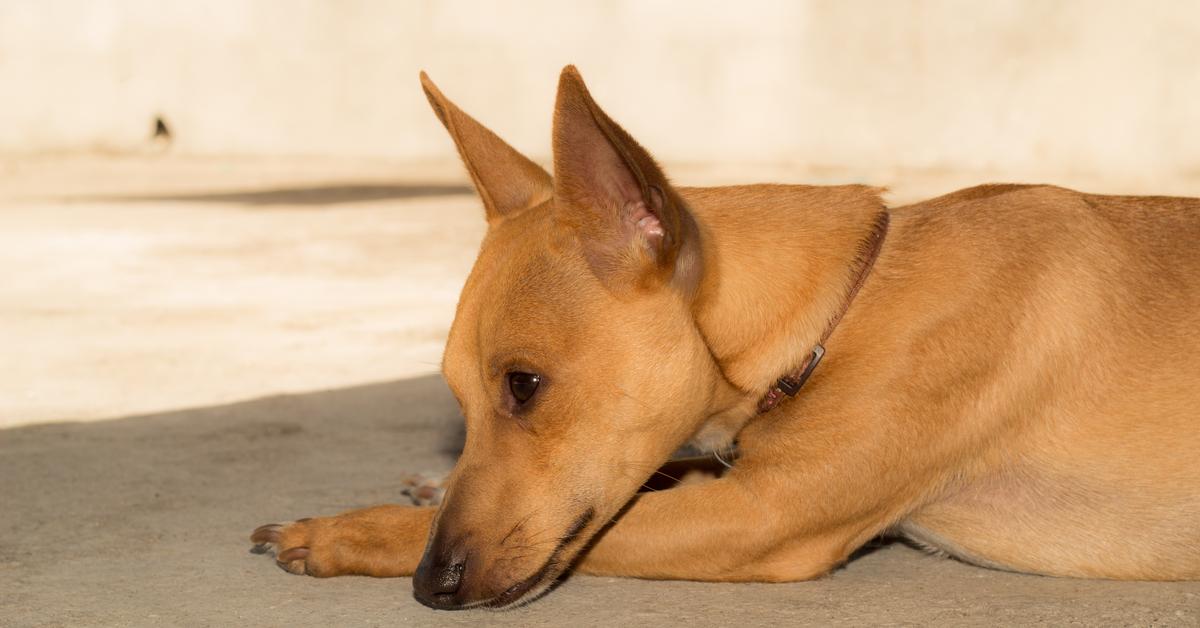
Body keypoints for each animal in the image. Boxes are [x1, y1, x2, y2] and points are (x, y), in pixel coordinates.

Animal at [248, 65, 1195, 609]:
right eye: (459, 402)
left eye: (524, 385)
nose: (430, 584)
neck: (845, 308)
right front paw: (431, 482)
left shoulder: (757, 519)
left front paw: (343, 533)